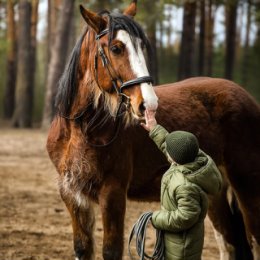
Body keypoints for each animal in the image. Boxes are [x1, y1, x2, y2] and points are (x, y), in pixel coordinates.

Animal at [46, 1, 260, 258]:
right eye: (116, 48)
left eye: (141, 46)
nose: (148, 104)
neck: (81, 130)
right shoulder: (72, 195)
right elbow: (82, 248)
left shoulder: (113, 193)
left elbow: (111, 251)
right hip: (215, 191)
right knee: (228, 243)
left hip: (247, 184)